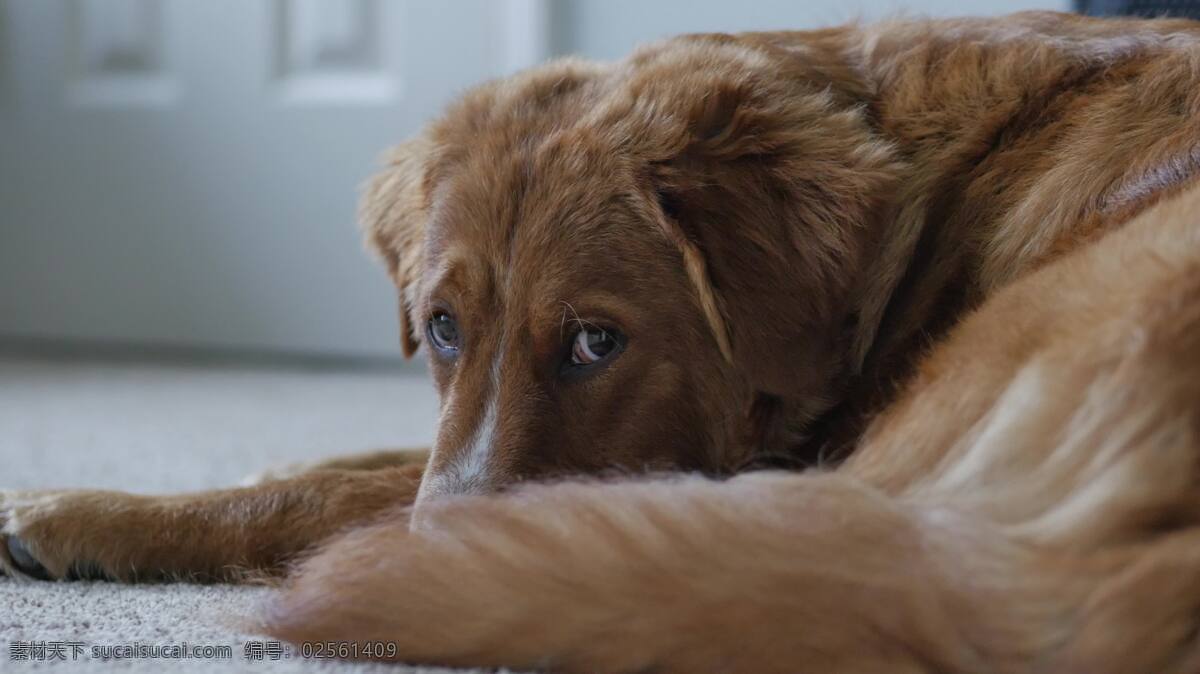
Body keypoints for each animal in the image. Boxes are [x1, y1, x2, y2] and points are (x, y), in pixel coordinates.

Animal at [2, 10, 1200, 671]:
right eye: (443, 326)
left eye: (592, 341)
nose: (444, 552)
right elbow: (371, 458)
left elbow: (336, 493)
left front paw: (83, 510)